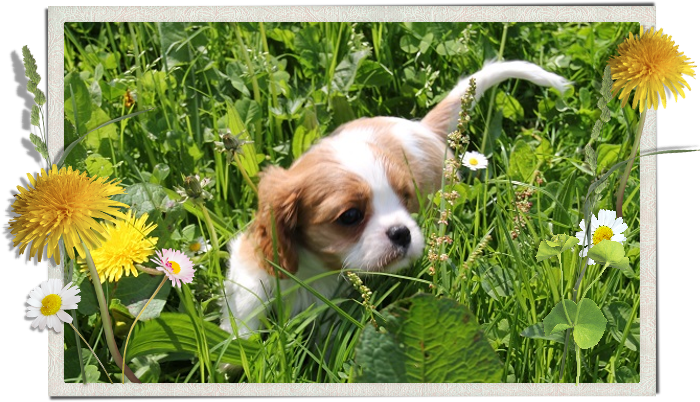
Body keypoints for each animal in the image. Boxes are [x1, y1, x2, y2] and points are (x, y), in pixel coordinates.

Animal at [221, 60, 572, 340]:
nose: (403, 233)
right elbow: (246, 312)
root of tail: (422, 128)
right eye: (350, 216)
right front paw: (237, 352)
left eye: (406, 199)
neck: (315, 268)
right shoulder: (250, 268)